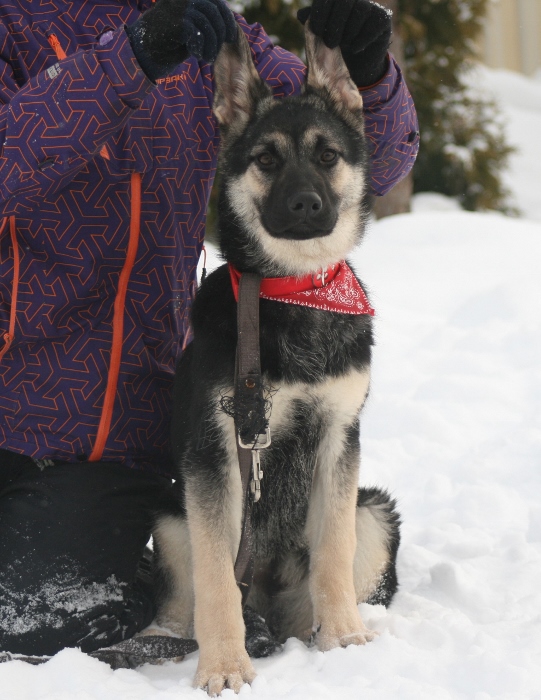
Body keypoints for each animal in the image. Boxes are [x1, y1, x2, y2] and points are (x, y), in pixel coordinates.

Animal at [152, 23, 400, 696]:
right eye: (266, 159)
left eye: (327, 155)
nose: (307, 205)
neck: (294, 292)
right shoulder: (215, 455)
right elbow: (216, 579)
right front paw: (224, 668)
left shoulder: (340, 439)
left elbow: (333, 554)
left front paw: (344, 642)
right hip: (171, 516)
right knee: (189, 599)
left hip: (376, 513)